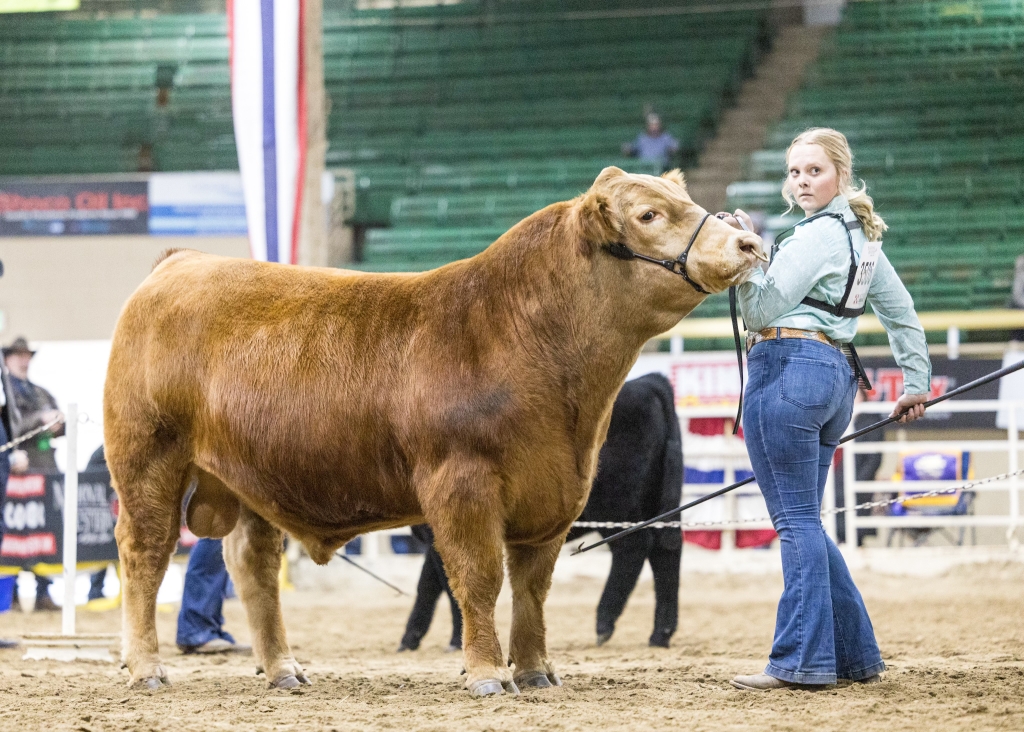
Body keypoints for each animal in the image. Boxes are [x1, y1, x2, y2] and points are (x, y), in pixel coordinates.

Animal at [397, 374, 679, 651]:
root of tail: (648, 381)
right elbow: (428, 584)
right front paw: (411, 638)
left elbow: (445, 584)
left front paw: (456, 639)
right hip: (657, 504)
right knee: (665, 551)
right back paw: (660, 634)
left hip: (619, 504)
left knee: (633, 547)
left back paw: (604, 622)